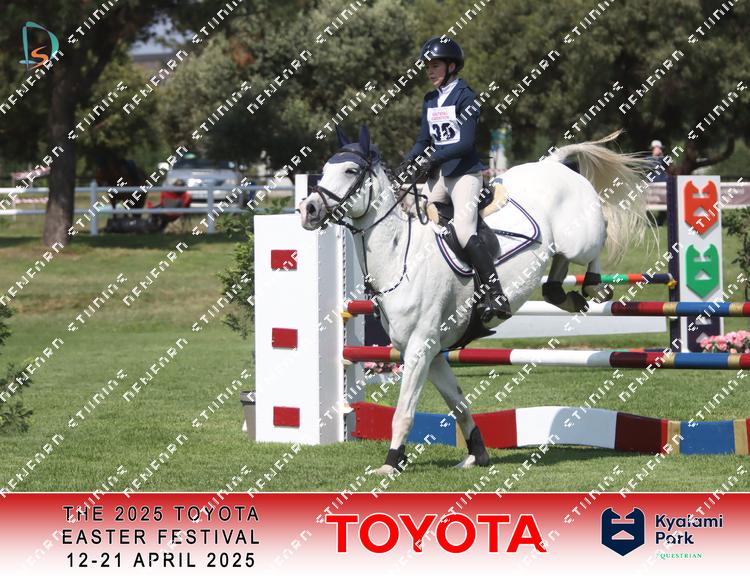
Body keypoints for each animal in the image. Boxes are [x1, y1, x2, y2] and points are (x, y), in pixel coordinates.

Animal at [298, 126, 649, 475]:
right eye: (325, 169)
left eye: (350, 170)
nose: (308, 210)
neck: (400, 255)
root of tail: (554, 165)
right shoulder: (432, 353)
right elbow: (458, 404)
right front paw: (477, 454)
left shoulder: (419, 348)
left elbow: (403, 413)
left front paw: (391, 464)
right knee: (555, 278)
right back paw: (567, 296)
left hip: (581, 240)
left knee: (598, 239)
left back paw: (594, 287)